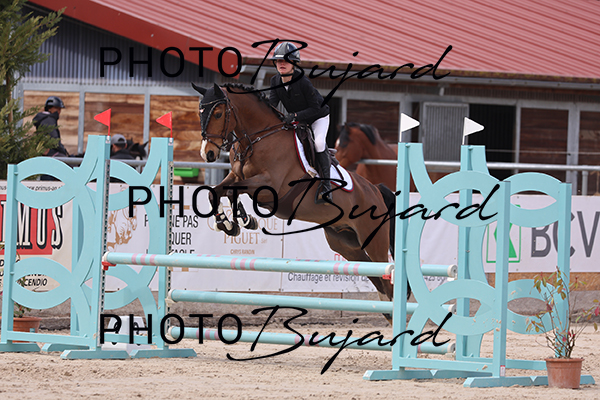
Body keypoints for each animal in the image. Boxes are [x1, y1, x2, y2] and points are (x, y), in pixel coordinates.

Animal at [191, 82, 409, 311]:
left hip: (373, 240)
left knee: (386, 278)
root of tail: (375, 190)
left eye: (217, 113)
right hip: (345, 244)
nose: (207, 154)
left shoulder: (270, 185)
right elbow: (216, 192)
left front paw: (241, 220)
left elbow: (232, 191)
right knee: (377, 280)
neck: (257, 139)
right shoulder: (236, 176)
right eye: (200, 112)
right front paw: (230, 223)